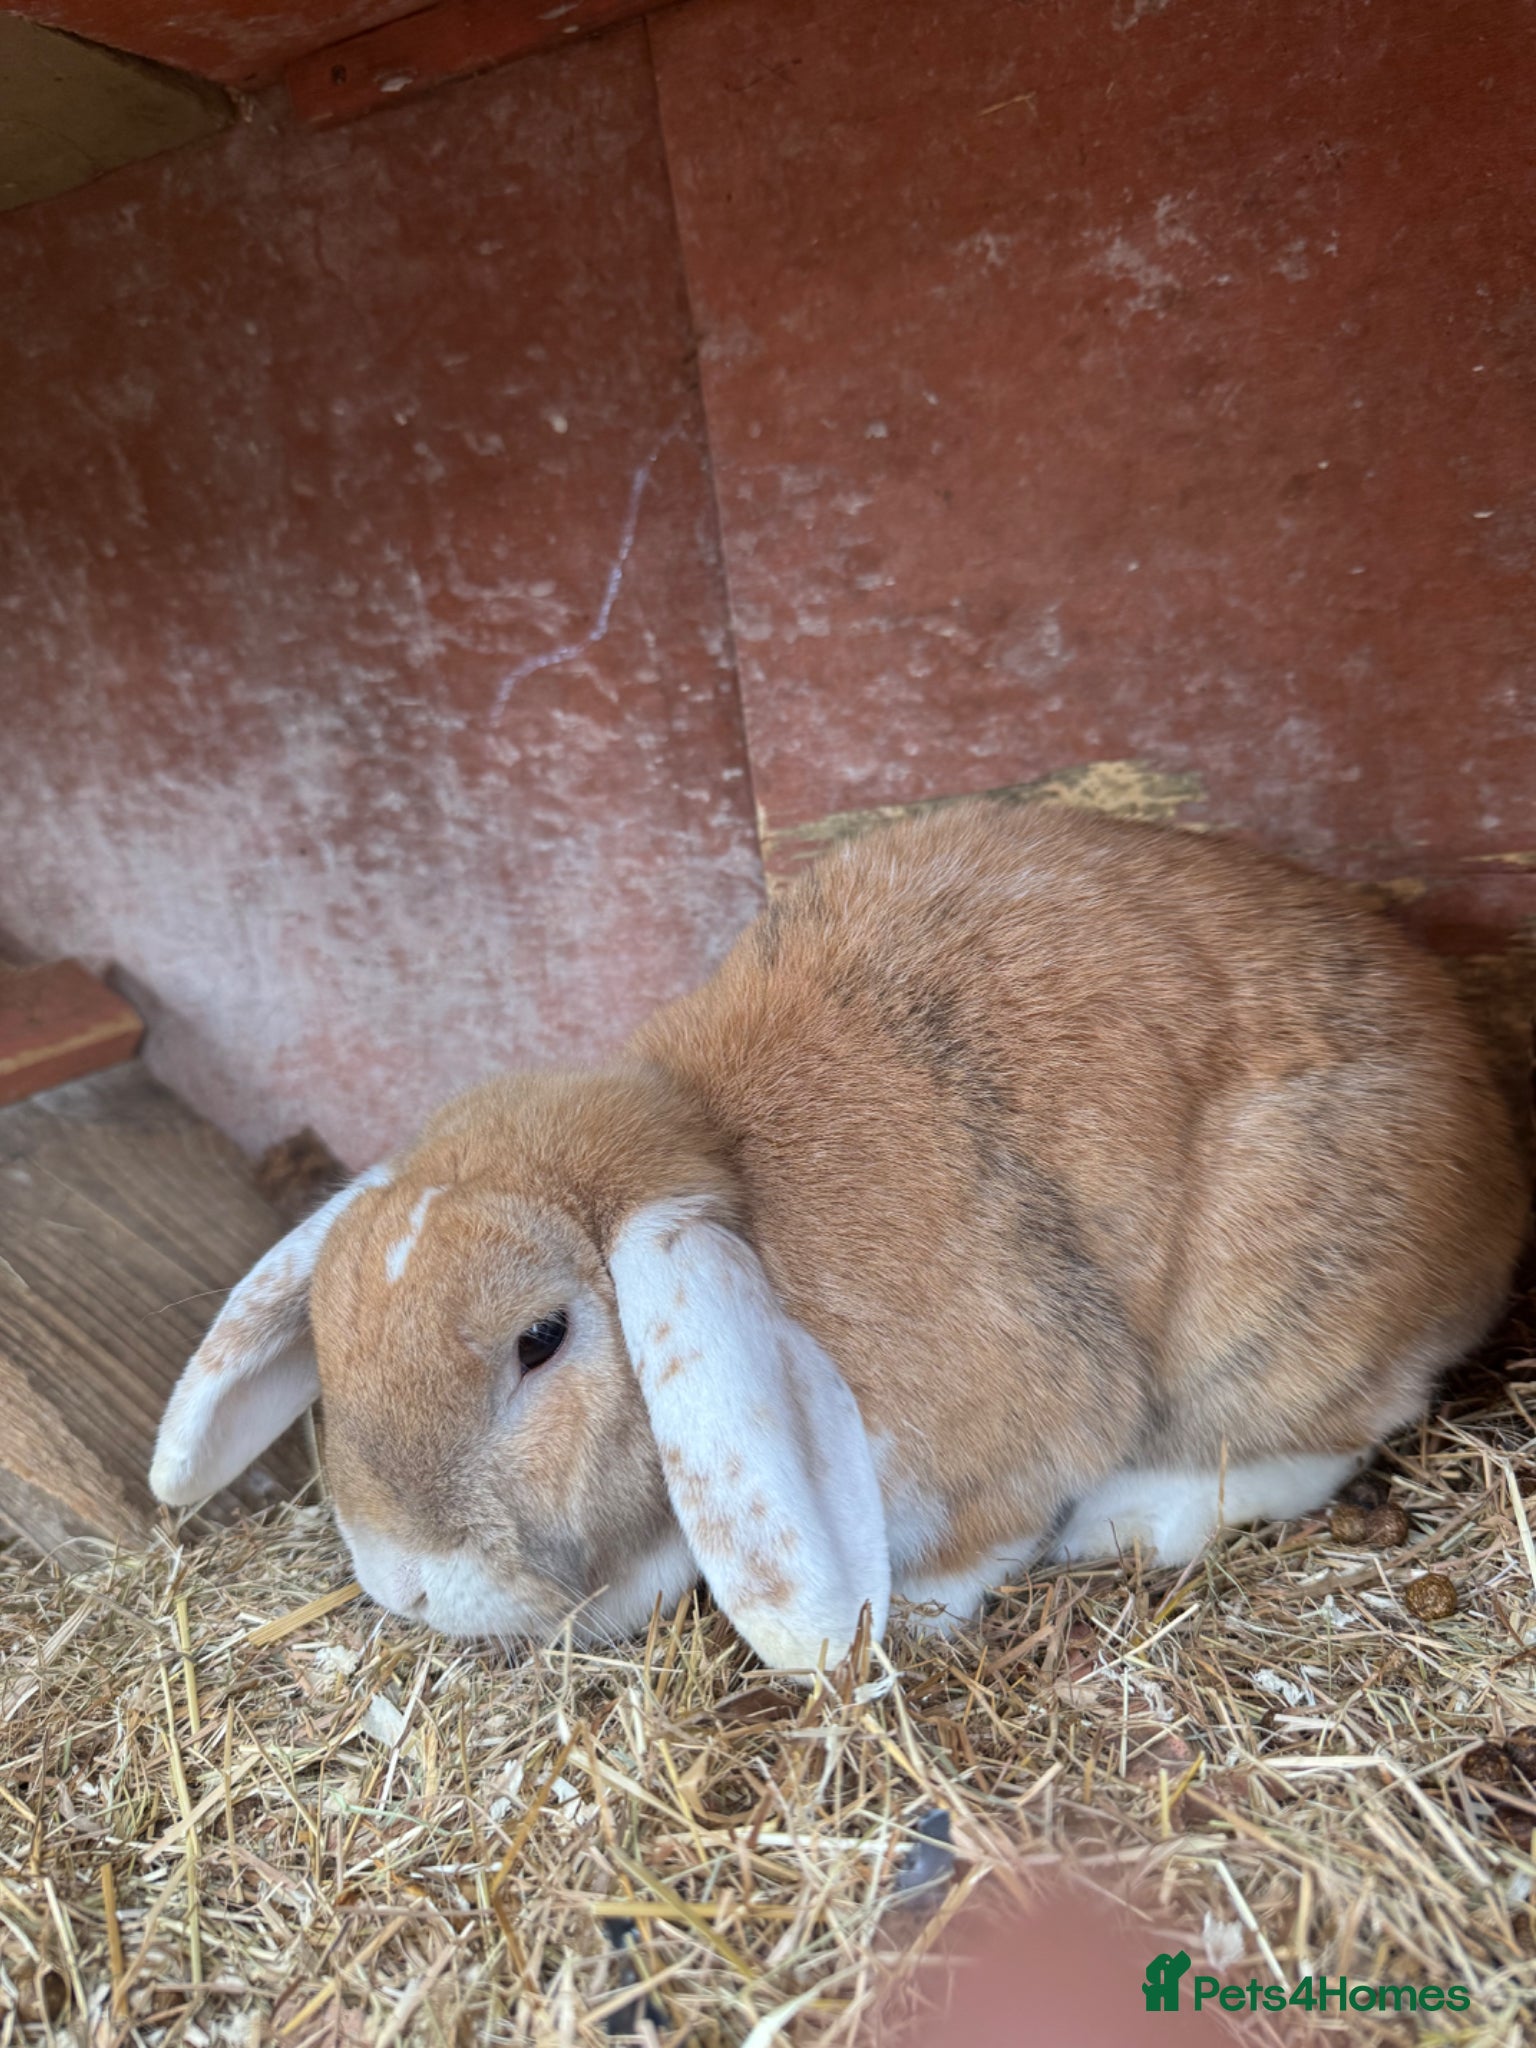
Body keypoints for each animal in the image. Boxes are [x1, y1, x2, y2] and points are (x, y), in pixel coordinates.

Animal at [150, 801, 1528, 1672]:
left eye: (541, 1338)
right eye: (330, 1339)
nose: (405, 1584)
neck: (715, 1153)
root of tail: (1495, 1148)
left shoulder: (1006, 1439)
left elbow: (986, 1529)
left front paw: (901, 1616)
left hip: (1278, 1313)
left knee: (1311, 1437)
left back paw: (1132, 1519)